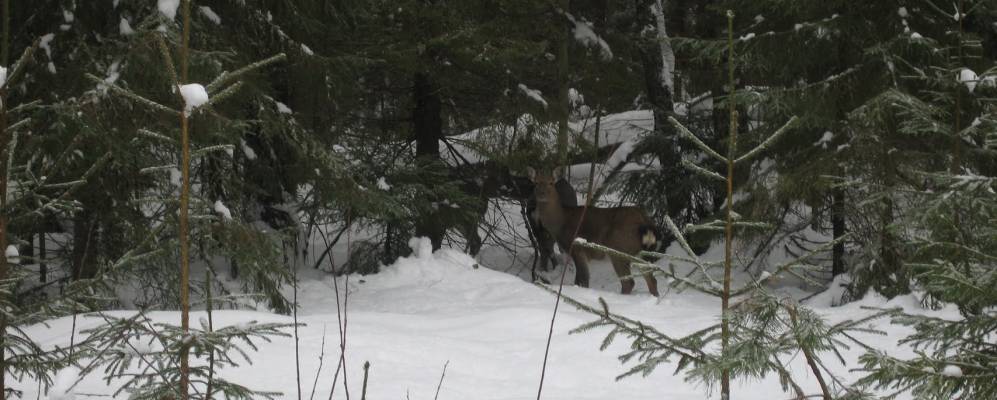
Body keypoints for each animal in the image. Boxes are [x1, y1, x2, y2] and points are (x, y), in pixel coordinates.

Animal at [524, 167, 656, 296]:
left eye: (551, 182)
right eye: (536, 183)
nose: (542, 194)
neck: (560, 223)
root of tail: (644, 220)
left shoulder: (577, 248)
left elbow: (583, 280)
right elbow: (580, 280)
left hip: (618, 250)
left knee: (629, 282)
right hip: (640, 253)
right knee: (651, 279)